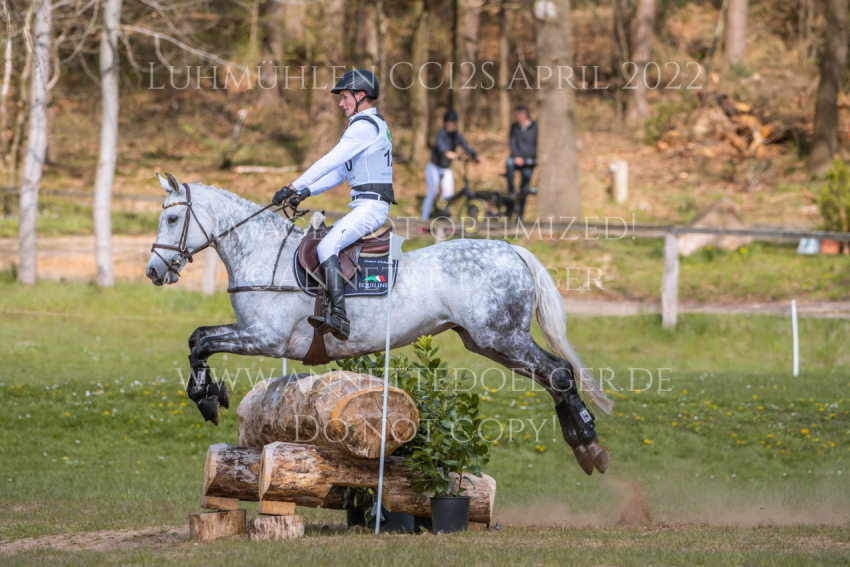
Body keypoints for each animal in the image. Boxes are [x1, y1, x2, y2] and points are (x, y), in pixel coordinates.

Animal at [145, 173, 613, 475]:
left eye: (172, 219)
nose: (153, 272)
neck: (263, 252)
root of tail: (510, 249)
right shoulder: (255, 336)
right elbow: (198, 339)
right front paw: (207, 394)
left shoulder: (265, 338)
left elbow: (201, 342)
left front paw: (205, 397)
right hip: (487, 342)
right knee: (555, 376)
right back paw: (585, 445)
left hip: (502, 337)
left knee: (559, 372)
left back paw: (589, 444)